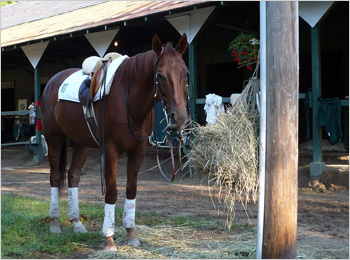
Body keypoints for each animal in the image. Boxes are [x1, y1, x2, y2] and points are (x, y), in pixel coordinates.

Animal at [41, 34, 190, 250]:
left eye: (185, 73)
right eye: (160, 75)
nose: (179, 118)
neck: (129, 101)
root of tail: (52, 82)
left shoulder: (138, 150)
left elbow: (131, 190)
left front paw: (131, 234)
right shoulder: (111, 150)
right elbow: (111, 192)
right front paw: (109, 239)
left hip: (80, 143)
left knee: (73, 176)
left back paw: (77, 223)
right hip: (54, 139)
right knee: (54, 178)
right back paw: (54, 223)